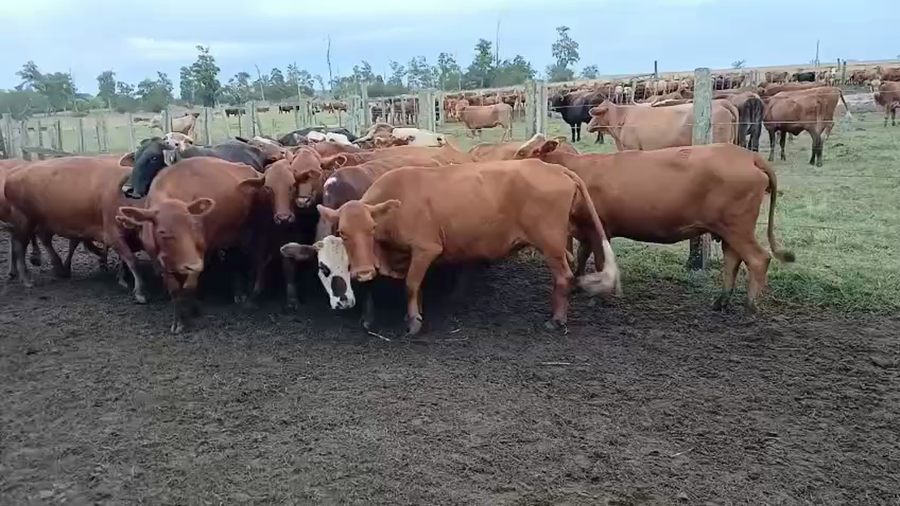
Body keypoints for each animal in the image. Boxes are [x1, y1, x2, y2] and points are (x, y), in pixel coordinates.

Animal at [117, 157, 265, 333]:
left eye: (194, 225)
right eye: (162, 232)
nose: (192, 265)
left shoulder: (199, 256)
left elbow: (189, 286)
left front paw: (193, 311)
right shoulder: (161, 262)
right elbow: (175, 290)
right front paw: (179, 320)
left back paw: (240, 292)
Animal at [315, 159, 620, 334]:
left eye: (371, 228)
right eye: (343, 232)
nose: (364, 272)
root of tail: (554, 167)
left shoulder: (427, 249)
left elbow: (412, 284)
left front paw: (413, 321)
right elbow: (416, 286)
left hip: (550, 243)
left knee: (564, 276)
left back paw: (557, 319)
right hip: (556, 242)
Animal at [514, 134, 795, 313]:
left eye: (521, 152)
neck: (575, 169)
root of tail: (747, 156)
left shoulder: (598, 229)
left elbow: (600, 260)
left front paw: (600, 296)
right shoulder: (585, 230)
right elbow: (582, 257)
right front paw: (579, 285)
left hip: (738, 228)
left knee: (758, 259)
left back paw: (750, 307)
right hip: (728, 230)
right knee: (733, 260)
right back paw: (721, 301)